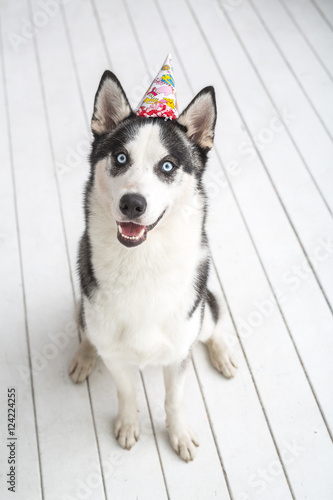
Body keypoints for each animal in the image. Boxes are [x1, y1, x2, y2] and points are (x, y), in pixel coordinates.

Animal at [69, 69, 236, 460]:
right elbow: (127, 392)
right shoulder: (115, 356)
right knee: (86, 333)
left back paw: (222, 354)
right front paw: (130, 425)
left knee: (213, 324)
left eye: (167, 166)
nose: (133, 203)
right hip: (83, 309)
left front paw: (179, 434)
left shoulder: (178, 355)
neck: (141, 264)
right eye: (119, 158)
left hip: (202, 313)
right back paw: (84, 355)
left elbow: (174, 399)